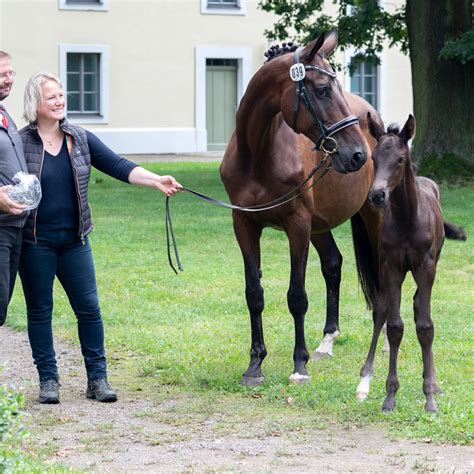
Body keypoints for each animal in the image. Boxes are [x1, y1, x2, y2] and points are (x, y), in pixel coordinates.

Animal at [220, 28, 384, 386]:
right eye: (322, 89)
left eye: (337, 87)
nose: (358, 155)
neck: (258, 155)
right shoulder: (244, 225)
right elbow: (254, 293)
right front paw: (255, 365)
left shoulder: (297, 224)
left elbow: (297, 296)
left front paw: (299, 365)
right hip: (319, 226)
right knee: (333, 264)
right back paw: (327, 341)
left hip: (371, 215)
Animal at [356, 114, 466, 412]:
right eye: (374, 158)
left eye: (400, 159)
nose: (377, 195)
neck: (407, 217)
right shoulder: (391, 267)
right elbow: (394, 326)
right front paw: (389, 396)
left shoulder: (425, 266)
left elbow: (426, 326)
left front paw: (429, 396)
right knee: (382, 311)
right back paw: (364, 381)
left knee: (419, 308)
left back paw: (434, 382)